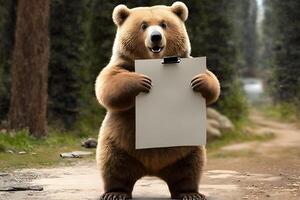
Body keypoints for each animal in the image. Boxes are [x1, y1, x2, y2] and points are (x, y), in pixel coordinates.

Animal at [96, 1, 220, 200]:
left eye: (163, 24)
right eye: (143, 25)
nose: (155, 37)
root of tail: (151, 170)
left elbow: (212, 83)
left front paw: (199, 80)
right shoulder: (122, 64)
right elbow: (108, 85)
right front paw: (142, 81)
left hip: (186, 149)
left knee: (190, 168)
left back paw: (190, 193)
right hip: (118, 143)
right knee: (113, 165)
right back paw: (115, 192)